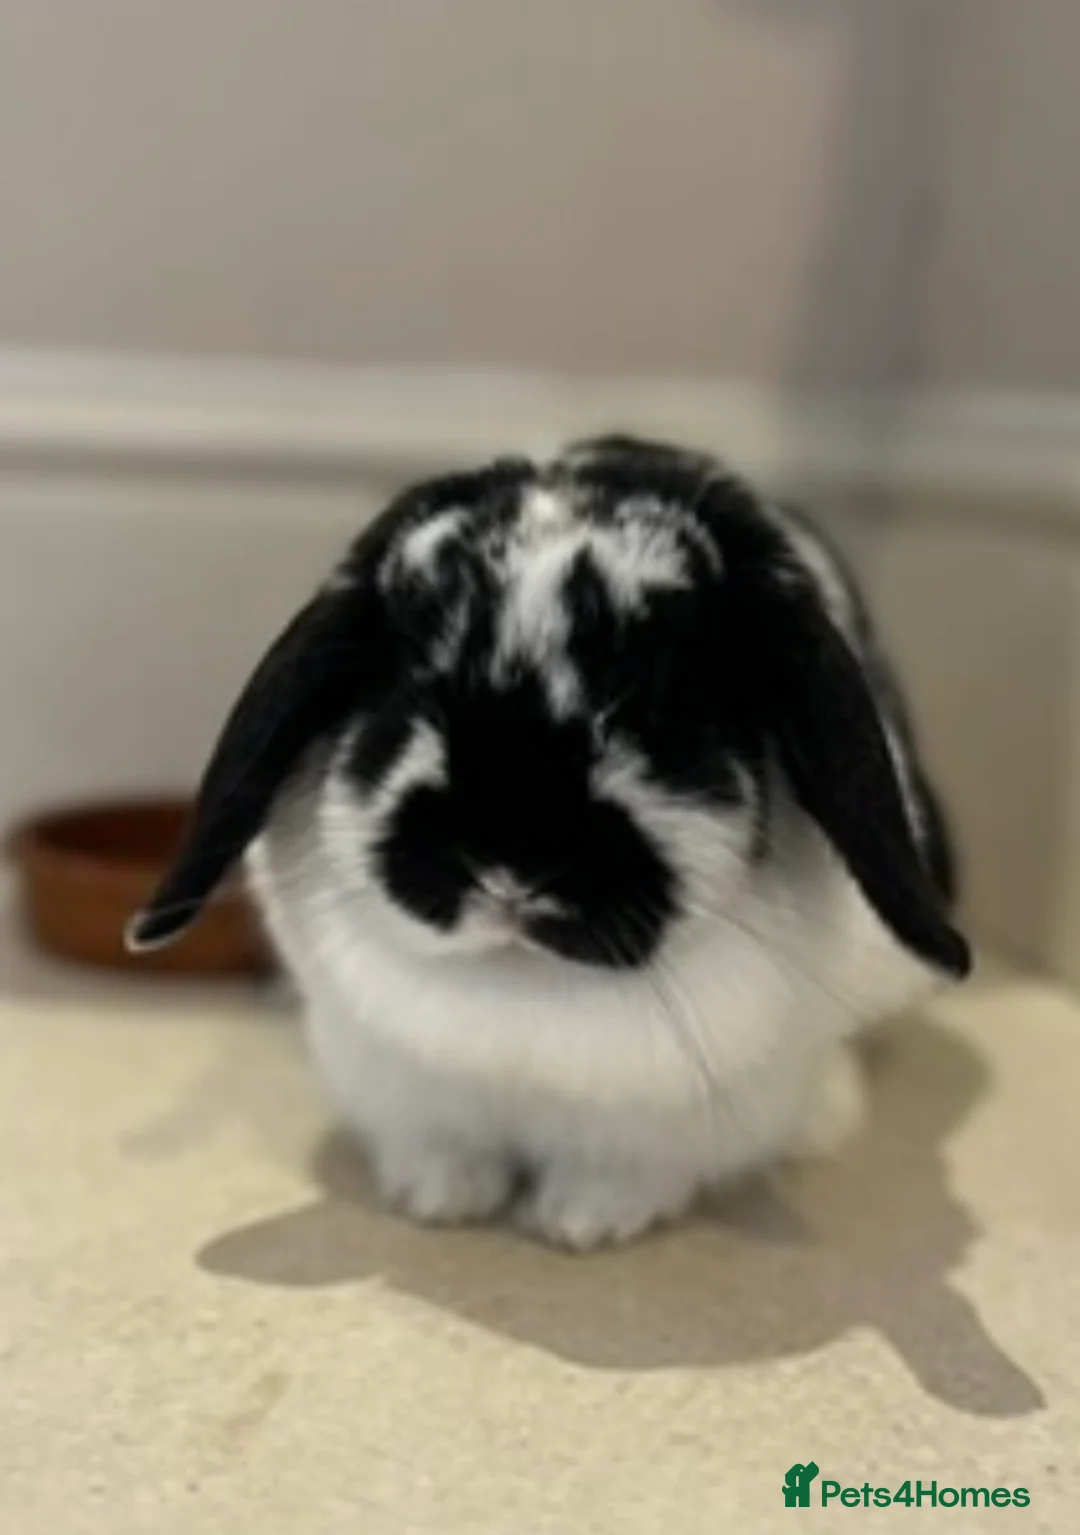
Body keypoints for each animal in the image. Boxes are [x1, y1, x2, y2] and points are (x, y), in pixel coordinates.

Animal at [128, 435, 970, 1249]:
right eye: (408, 686)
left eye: (661, 704)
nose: (507, 865)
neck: (522, 981)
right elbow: (444, 1147)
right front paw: (440, 1202)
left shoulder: (665, 1123)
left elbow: (628, 1170)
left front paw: (579, 1224)